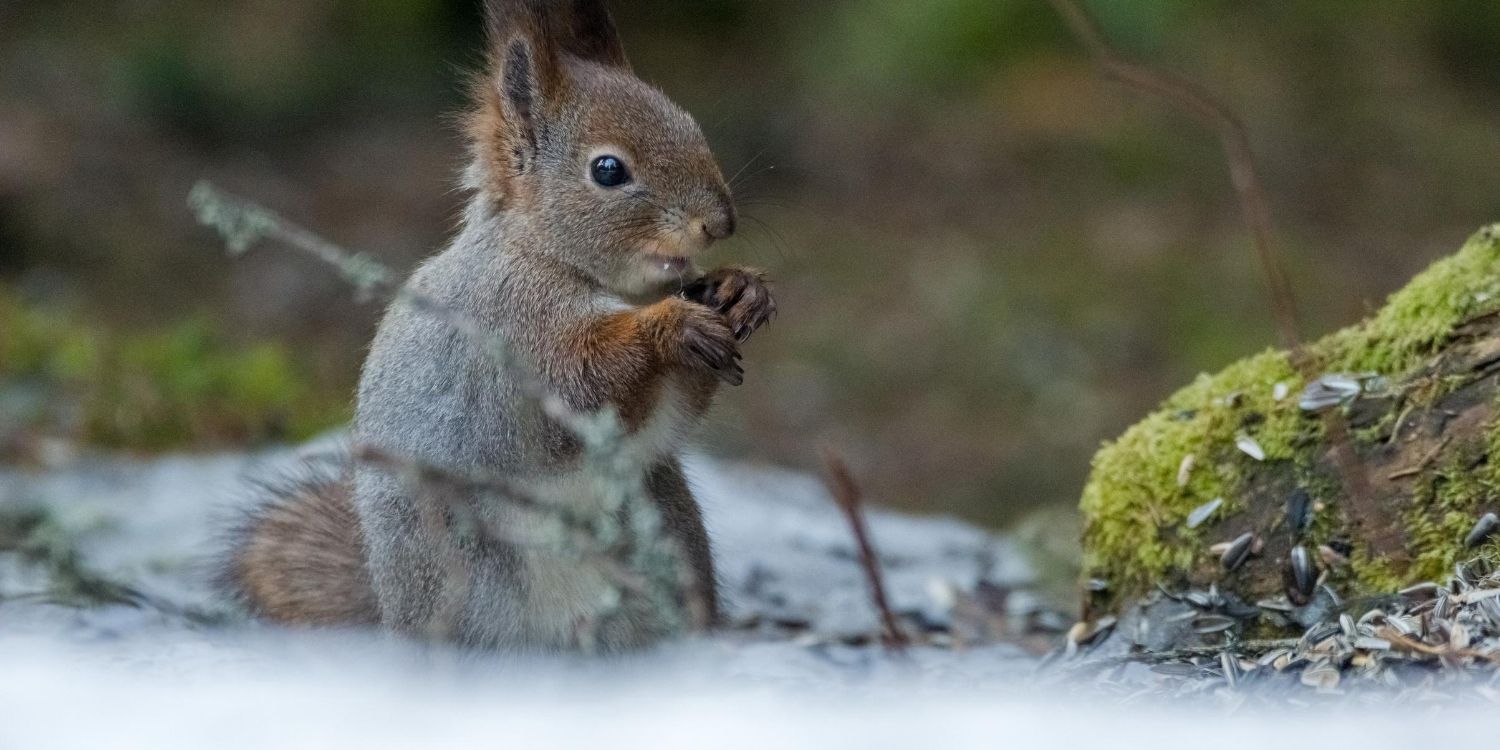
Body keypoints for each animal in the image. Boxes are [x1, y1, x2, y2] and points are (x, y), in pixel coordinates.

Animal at [217, 0, 780, 651]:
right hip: (460, 574)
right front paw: (674, 327)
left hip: (668, 537)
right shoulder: (511, 328)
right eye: (608, 170)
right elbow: (584, 378)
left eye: (691, 124)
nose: (720, 223)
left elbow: (671, 410)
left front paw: (741, 289)